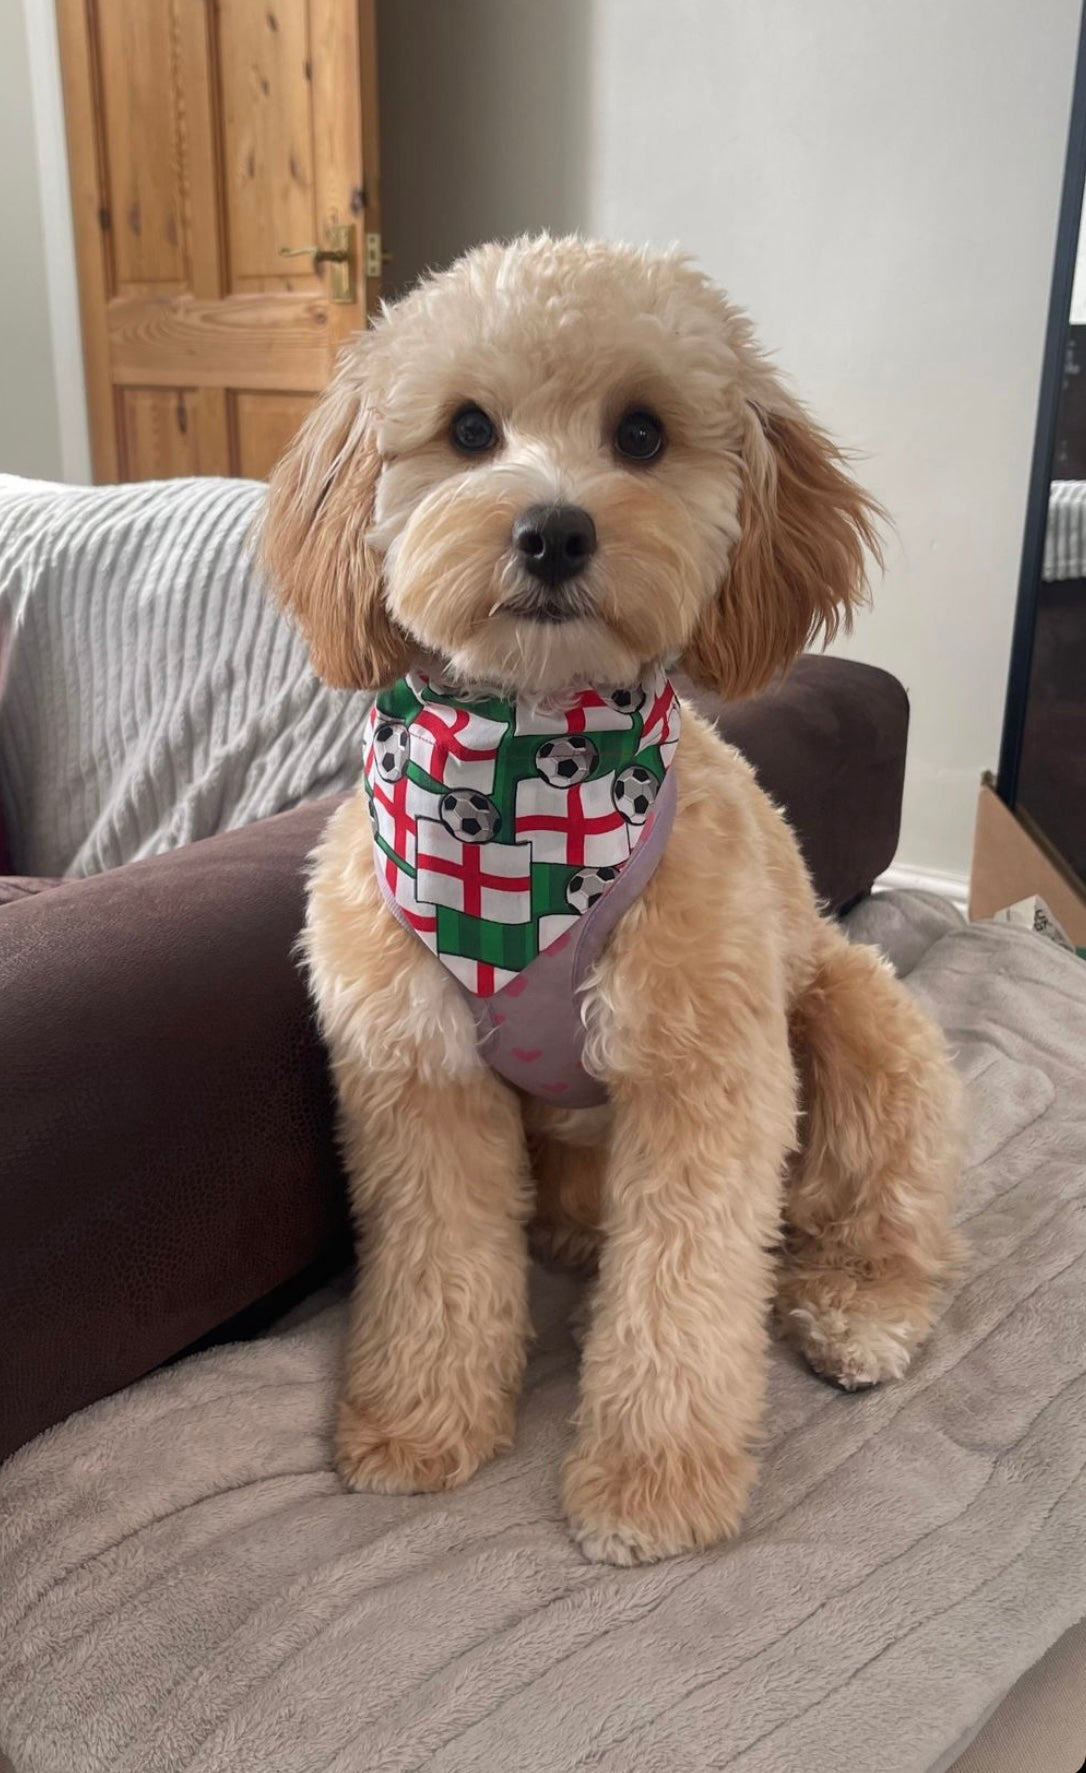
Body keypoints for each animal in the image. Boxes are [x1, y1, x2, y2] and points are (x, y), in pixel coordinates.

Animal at [260, 235, 956, 1567]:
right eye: (469, 430)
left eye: (641, 435)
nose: (552, 532)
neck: (530, 790)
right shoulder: (416, 1078)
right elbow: (437, 1267)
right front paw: (420, 1423)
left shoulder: (707, 1079)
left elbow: (683, 1296)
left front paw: (652, 1483)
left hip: (862, 1024)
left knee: (881, 1215)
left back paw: (858, 1309)